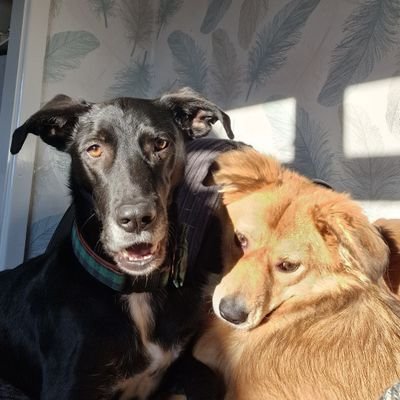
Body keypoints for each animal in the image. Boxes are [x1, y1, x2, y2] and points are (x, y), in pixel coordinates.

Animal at [0, 88, 233, 400]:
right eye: (94, 149)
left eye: (161, 144)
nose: (136, 219)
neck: (136, 291)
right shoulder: (67, 387)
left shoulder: (180, 361)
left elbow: (209, 377)